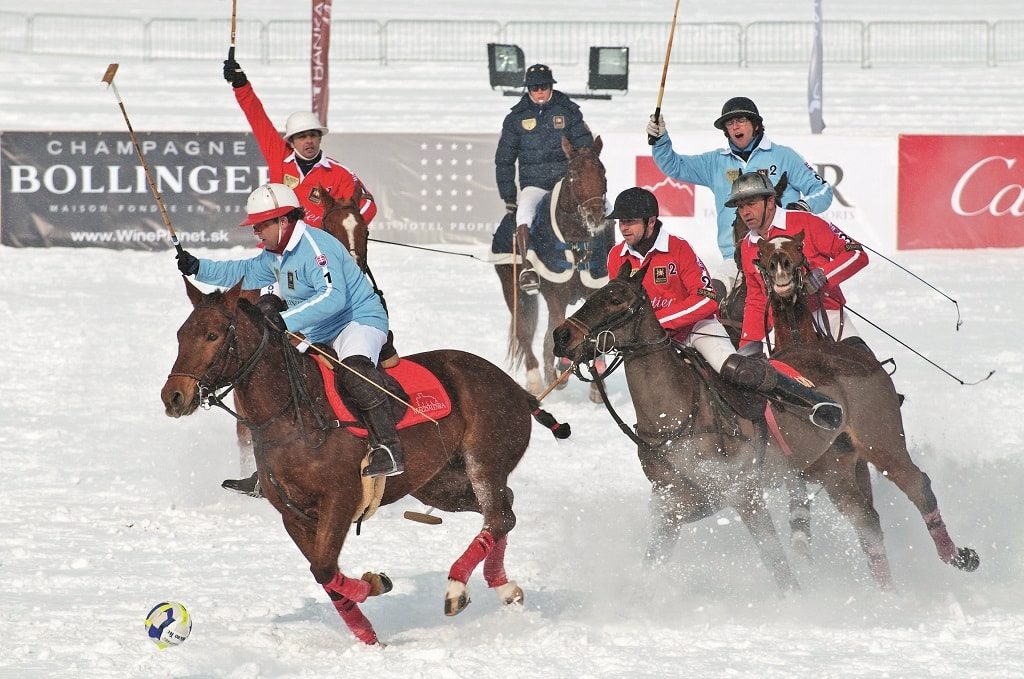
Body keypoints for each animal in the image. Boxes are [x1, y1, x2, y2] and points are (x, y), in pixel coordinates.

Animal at [163, 278, 573, 647]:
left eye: (213, 335)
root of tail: (518, 390)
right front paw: (368, 633)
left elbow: (324, 568)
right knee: (505, 510)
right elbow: (325, 574)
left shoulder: (340, 499)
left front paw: (376, 585)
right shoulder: (293, 514)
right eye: (182, 335)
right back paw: (504, 587)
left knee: (498, 515)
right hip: (438, 485)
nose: (174, 396)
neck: (289, 414)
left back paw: (457, 588)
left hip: (483, 458)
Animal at [493, 135, 610, 399]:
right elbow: (551, 332)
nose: (596, 216)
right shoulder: (556, 294)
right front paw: (560, 369)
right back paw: (537, 379)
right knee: (525, 333)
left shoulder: (595, 286)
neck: (577, 240)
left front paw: (597, 385)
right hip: (512, 289)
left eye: (602, 171)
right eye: (574, 174)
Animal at [552, 262, 798, 593]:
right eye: (593, 295)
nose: (561, 336)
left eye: (616, 300)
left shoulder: (741, 490)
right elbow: (653, 558)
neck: (673, 416)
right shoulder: (670, 504)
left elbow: (776, 559)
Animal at [757, 233, 978, 585]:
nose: (780, 266)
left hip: (876, 442)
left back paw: (951, 557)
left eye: (798, 248)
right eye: (761, 255)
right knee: (876, 511)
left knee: (907, 491)